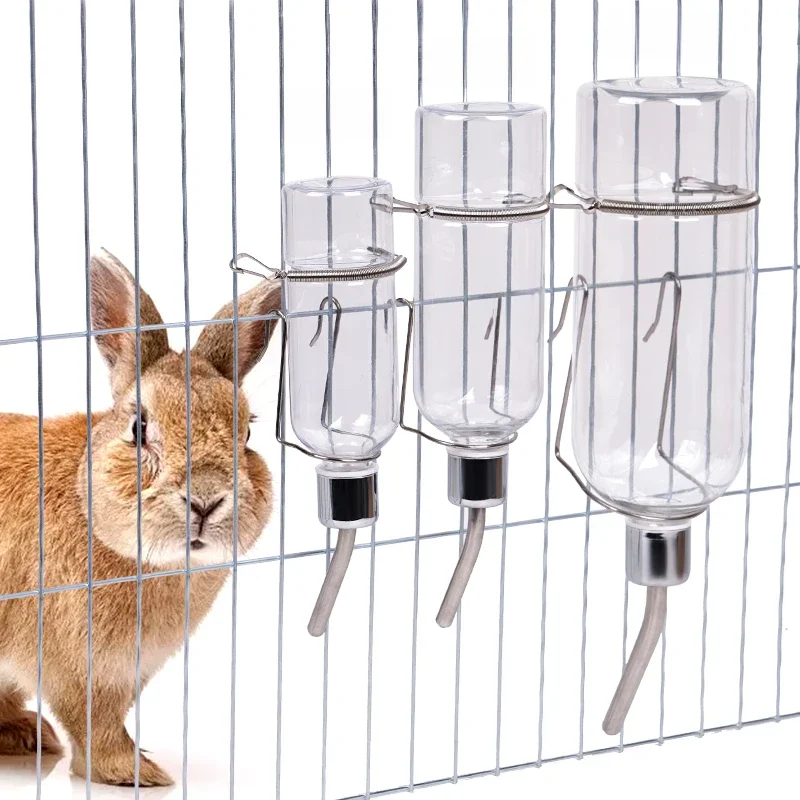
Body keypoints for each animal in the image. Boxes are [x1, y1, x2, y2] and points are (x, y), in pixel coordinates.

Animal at [0, 249, 281, 786]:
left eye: (247, 434)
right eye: (139, 427)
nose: (206, 500)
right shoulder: (78, 672)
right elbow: (94, 727)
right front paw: (137, 773)